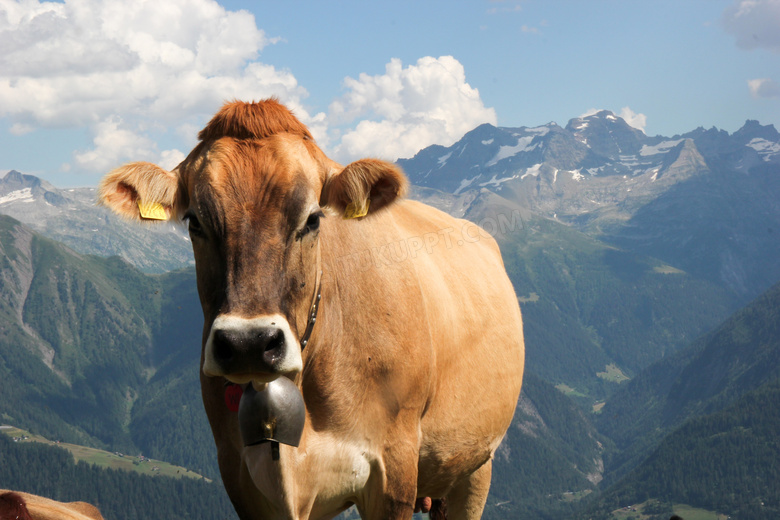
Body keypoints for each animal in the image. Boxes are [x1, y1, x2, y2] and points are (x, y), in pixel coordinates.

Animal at [97, 99, 524, 516]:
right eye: (195, 222)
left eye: (313, 218)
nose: (248, 344)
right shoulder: (241, 475)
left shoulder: (395, 468)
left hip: (475, 465)